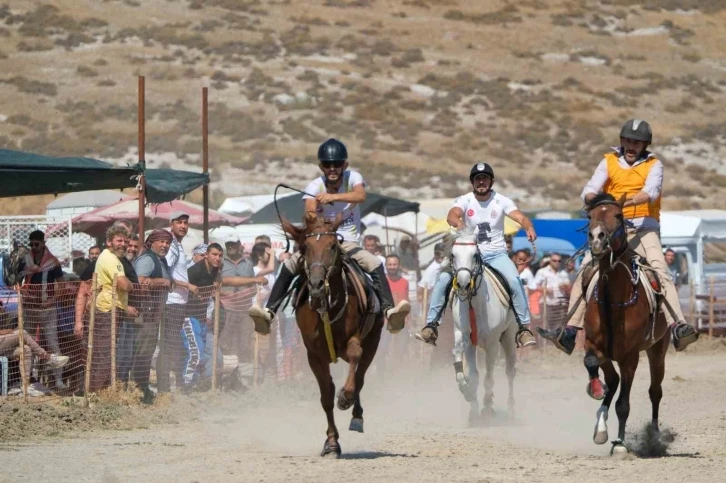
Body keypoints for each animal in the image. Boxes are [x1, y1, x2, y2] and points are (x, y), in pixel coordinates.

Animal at [282, 214, 386, 460]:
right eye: (306, 248)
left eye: (332, 246)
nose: (317, 284)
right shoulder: (314, 355)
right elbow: (326, 396)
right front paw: (331, 443)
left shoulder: (358, 341)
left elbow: (355, 362)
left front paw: (345, 397)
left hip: (373, 340)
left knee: (360, 376)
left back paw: (355, 413)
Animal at [452, 229, 520, 426]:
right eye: (453, 255)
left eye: (474, 255)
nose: (463, 283)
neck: (474, 304)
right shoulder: (465, 339)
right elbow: (471, 372)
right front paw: (469, 396)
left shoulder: (492, 344)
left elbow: (489, 378)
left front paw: (487, 407)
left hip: (509, 337)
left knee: (510, 372)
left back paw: (511, 410)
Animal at [584, 194, 672, 458]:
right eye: (589, 216)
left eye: (618, 215)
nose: (597, 238)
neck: (612, 301)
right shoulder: (594, 345)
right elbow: (591, 364)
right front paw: (595, 389)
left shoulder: (629, 357)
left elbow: (623, 404)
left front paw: (621, 444)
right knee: (612, 381)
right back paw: (601, 428)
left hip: (657, 350)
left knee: (655, 391)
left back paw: (654, 437)